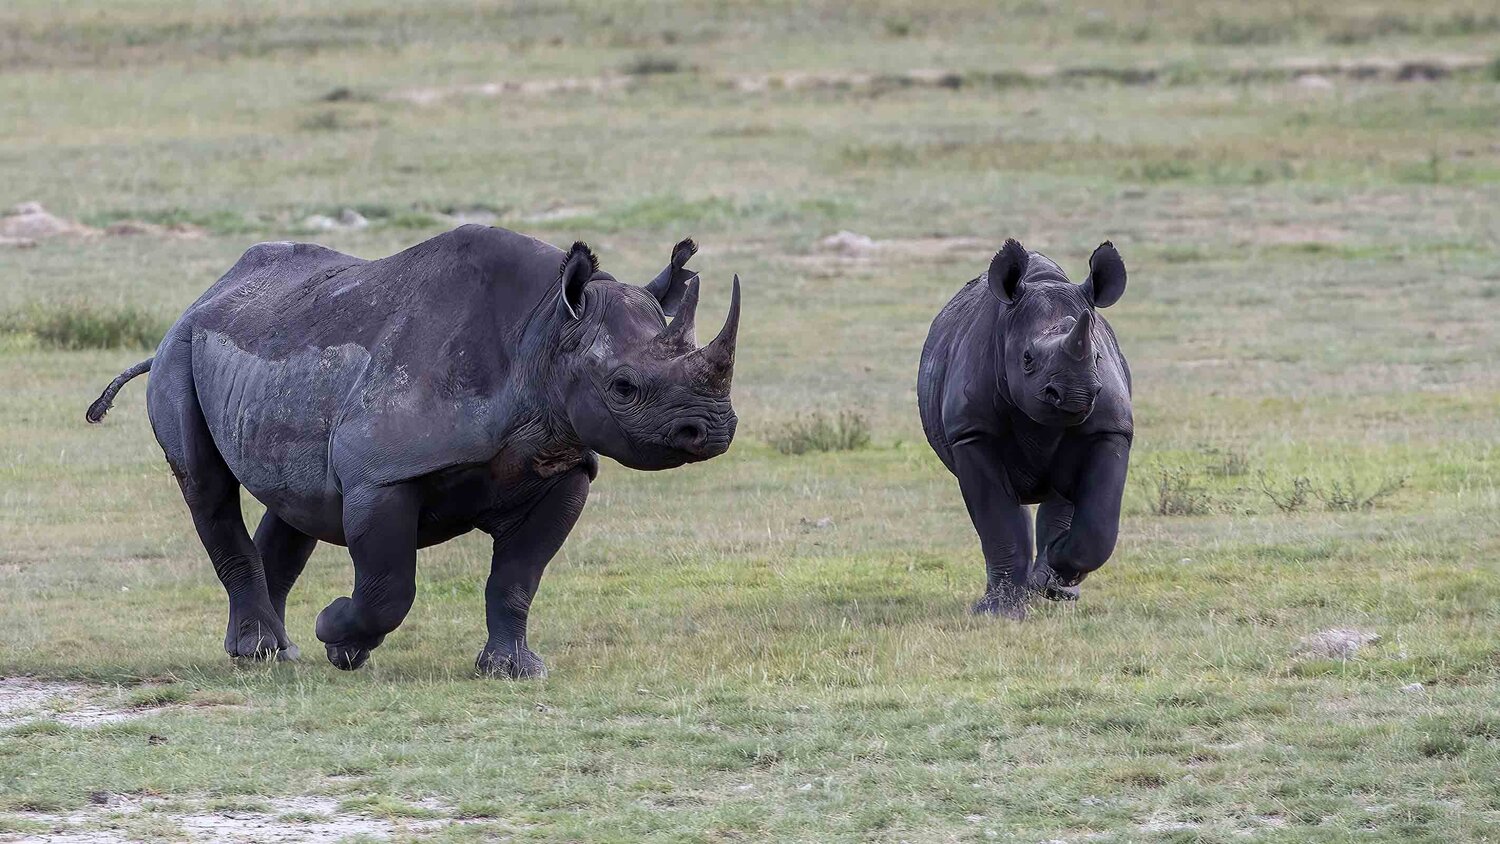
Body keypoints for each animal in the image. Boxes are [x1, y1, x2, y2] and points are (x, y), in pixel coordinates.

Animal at [87, 225, 741, 676]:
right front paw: (338, 637)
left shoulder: (565, 463)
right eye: (622, 387)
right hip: (179, 353)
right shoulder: (381, 474)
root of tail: (205, 297)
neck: (544, 331)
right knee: (207, 487)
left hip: (266, 347)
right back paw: (270, 651)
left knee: (296, 501)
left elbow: (518, 577)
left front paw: (513, 671)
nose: (710, 430)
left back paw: (266, 653)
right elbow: (389, 587)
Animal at [917, 239, 1132, 620]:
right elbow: (997, 520)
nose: (1074, 393)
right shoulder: (971, 432)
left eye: (1097, 358)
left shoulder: (1111, 428)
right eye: (1027, 359)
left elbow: (1099, 523)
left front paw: (1057, 570)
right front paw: (999, 612)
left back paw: (1053, 586)